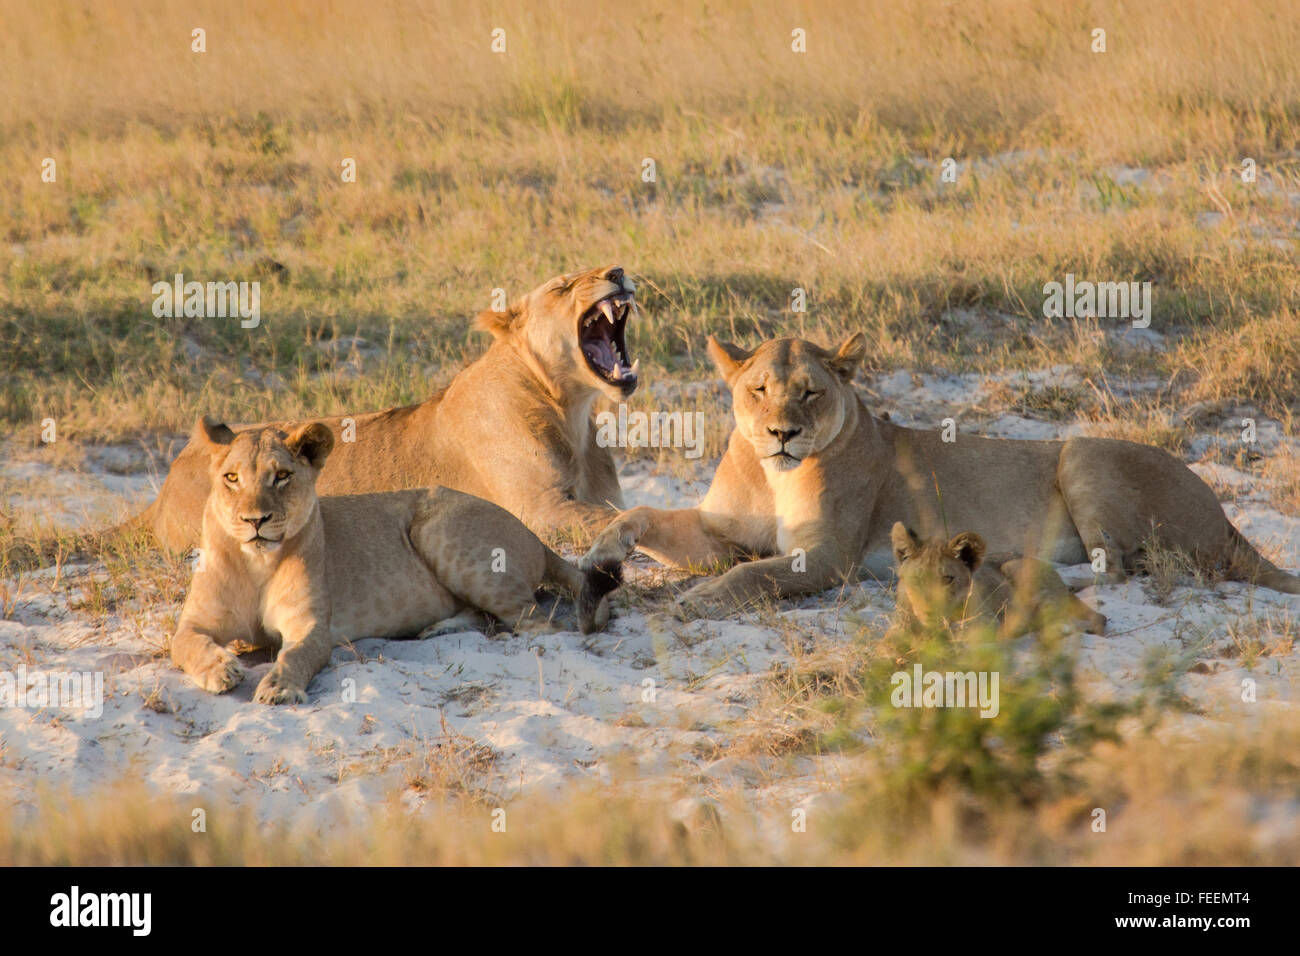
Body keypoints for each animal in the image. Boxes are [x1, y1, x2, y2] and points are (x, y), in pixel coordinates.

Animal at [138, 265, 639, 553]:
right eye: (562, 287)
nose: (618, 270)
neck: (570, 409)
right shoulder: (538, 509)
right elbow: (624, 519)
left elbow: (620, 511)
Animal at [170, 418, 618, 705]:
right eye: (231, 478)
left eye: (281, 476)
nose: (255, 520)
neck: (255, 564)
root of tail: (533, 535)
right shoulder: (195, 621)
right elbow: (186, 644)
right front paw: (221, 670)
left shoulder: (310, 628)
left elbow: (293, 657)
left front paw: (278, 688)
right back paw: (437, 629)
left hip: (440, 530)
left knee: (543, 625)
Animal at [580, 332, 1300, 614]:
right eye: (759, 390)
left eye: (810, 392)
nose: (783, 433)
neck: (771, 474)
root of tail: (1227, 515)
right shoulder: (719, 530)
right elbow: (642, 515)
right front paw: (601, 550)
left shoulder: (826, 558)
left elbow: (749, 574)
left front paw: (695, 600)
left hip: (1080, 453)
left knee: (1120, 569)